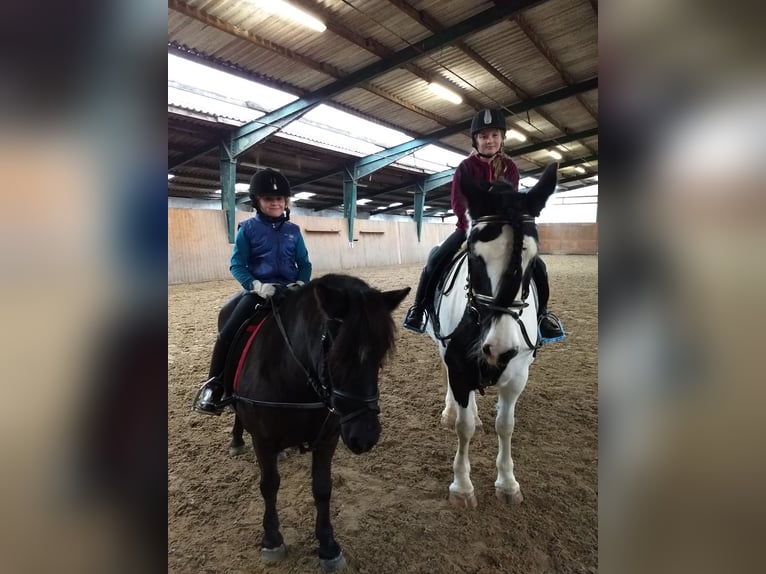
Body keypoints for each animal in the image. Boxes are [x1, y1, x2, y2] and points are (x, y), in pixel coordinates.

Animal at [219, 274, 412, 572]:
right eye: (336, 355)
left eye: (382, 353)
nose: (365, 436)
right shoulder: (263, 440)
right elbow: (269, 485)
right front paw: (272, 539)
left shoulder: (328, 438)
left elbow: (322, 488)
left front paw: (328, 546)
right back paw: (237, 441)